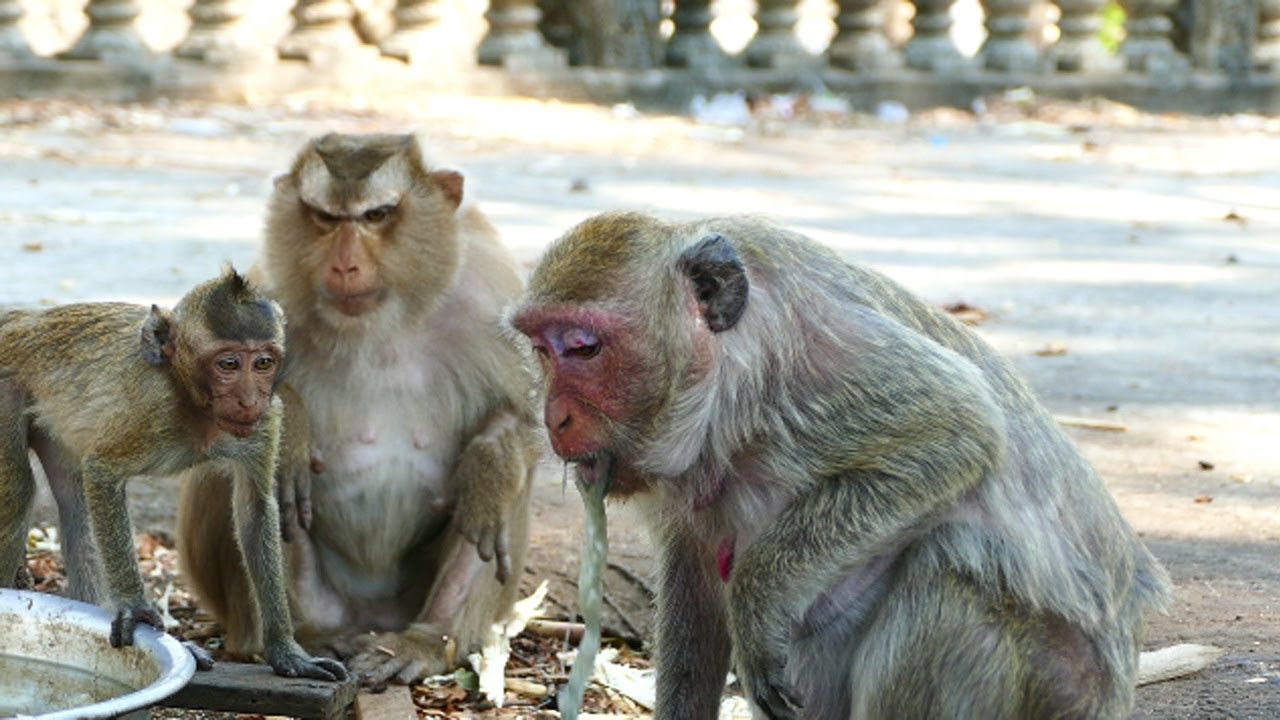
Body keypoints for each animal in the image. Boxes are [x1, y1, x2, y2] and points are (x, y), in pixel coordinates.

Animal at [0, 268, 347, 682]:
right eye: (228, 365)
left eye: (263, 363)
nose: (250, 400)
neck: (195, 404)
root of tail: (16, 320)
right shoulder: (152, 411)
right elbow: (102, 472)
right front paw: (134, 606)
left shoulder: (265, 422)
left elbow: (255, 511)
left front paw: (287, 651)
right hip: (4, 388)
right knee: (20, 491)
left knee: (74, 500)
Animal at [177, 133, 540, 686]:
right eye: (326, 217)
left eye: (376, 215)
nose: (345, 265)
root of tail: (370, 617)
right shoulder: (264, 292)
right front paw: (294, 431)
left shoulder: (490, 294)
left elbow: (527, 417)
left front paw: (490, 467)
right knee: (244, 469)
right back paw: (301, 637)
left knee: (498, 510)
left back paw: (425, 640)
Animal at [510, 211, 1171, 720]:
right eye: (541, 349)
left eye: (584, 348)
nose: (553, 417)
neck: (724, 385)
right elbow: (696, 584)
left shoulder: (818, 355)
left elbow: (959, 425)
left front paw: (757, 600)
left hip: (1053, 682)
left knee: (949, 563)